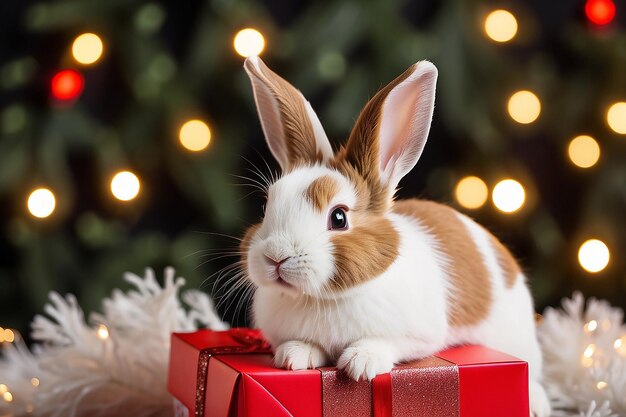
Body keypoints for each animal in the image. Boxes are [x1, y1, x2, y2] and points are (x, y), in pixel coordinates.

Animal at [240, 56, 552, 416]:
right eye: (266, 206)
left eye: (339, 217)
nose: (275, 256)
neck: (321, 298)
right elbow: (303, 344)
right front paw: (293, 356)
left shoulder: (417, 335)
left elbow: (385, 342)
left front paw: (360, 363)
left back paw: (536, 404)